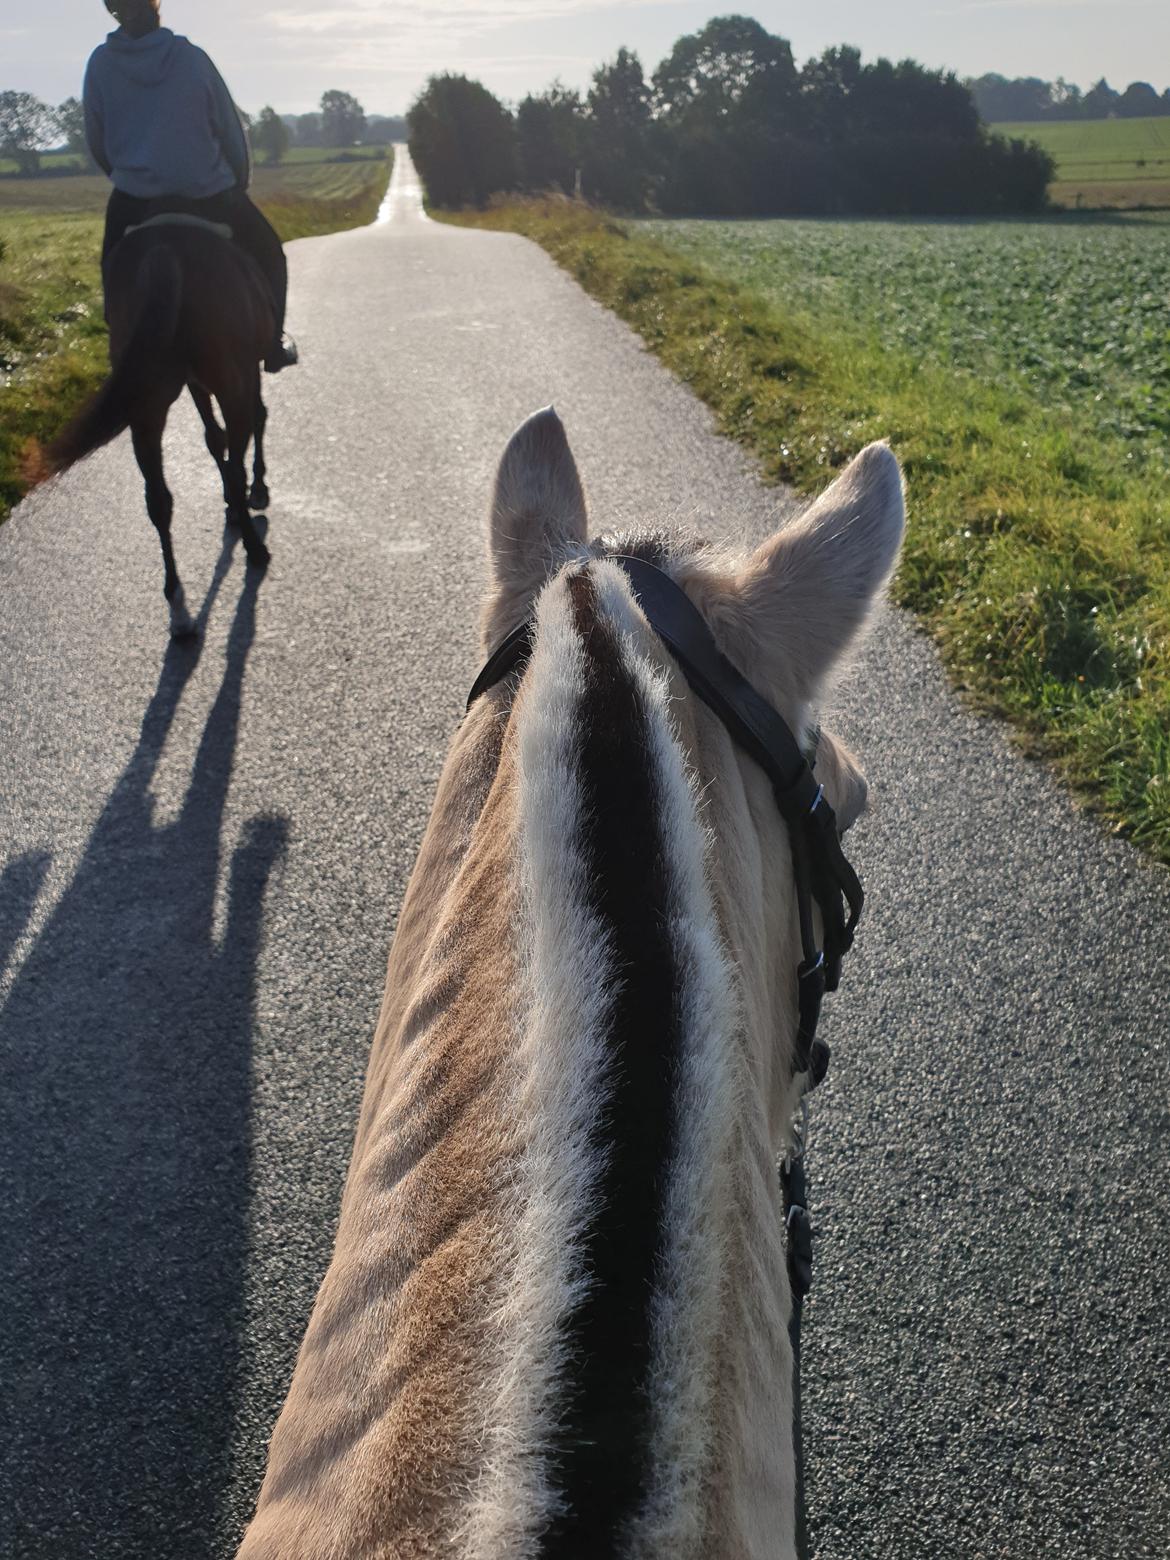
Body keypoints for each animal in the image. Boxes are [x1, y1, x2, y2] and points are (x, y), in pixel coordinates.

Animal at [54, 216, 277, 636]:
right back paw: (253, 545)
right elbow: (252, 424)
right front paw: (255, 491)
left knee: (158, 499)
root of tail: (165, 247)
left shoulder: (195, 384)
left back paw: (178, 604)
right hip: (229, 379)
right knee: (238, 449)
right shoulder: (243, 375)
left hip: (147, 402)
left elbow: (213, 438)